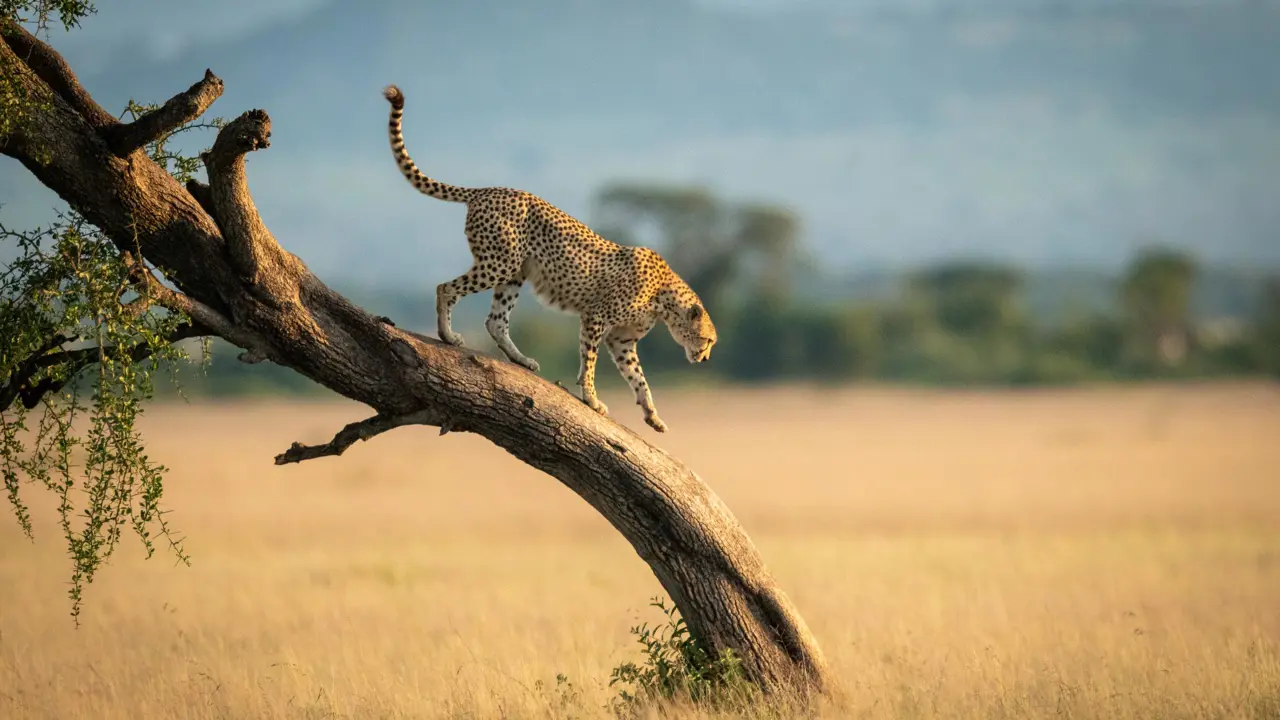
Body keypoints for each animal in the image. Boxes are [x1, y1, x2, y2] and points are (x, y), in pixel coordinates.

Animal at [382, 84, 716, 433]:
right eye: (707, 340)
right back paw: (448, 335)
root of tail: (488, 190)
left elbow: (639, 378)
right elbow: (590, 362)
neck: (664, 298)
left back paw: (521, 359)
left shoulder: (622, 340)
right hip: (499, 264)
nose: (704, 358)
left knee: (495, 320)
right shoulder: (596, 317)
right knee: (446, 288)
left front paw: (652, 415)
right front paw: (591, 398)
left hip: (514, 272)